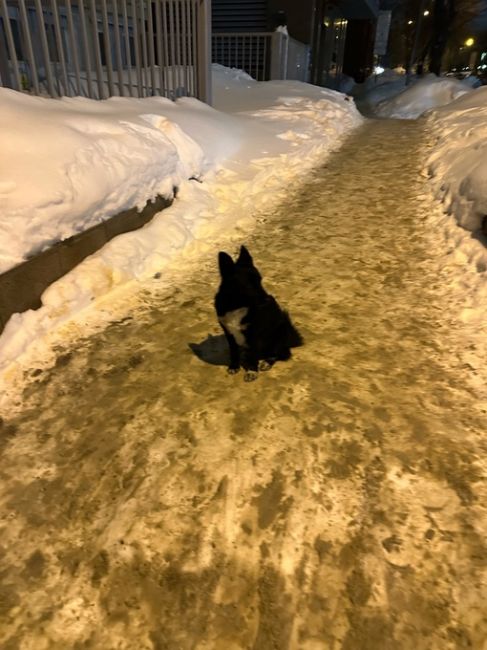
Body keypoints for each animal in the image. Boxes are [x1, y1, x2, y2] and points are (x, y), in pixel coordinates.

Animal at [214, 246, 304, 382]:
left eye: (260, 280)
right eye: (247, 286)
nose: (269, 300)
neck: (237, 305)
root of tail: (289, 340)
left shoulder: (254, 335)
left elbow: (253, 356)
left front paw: (251, 370)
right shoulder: (228, 332)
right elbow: (233, 351)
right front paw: (234, 366)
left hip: (279, 334)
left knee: (279, 353)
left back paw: (267, 361)